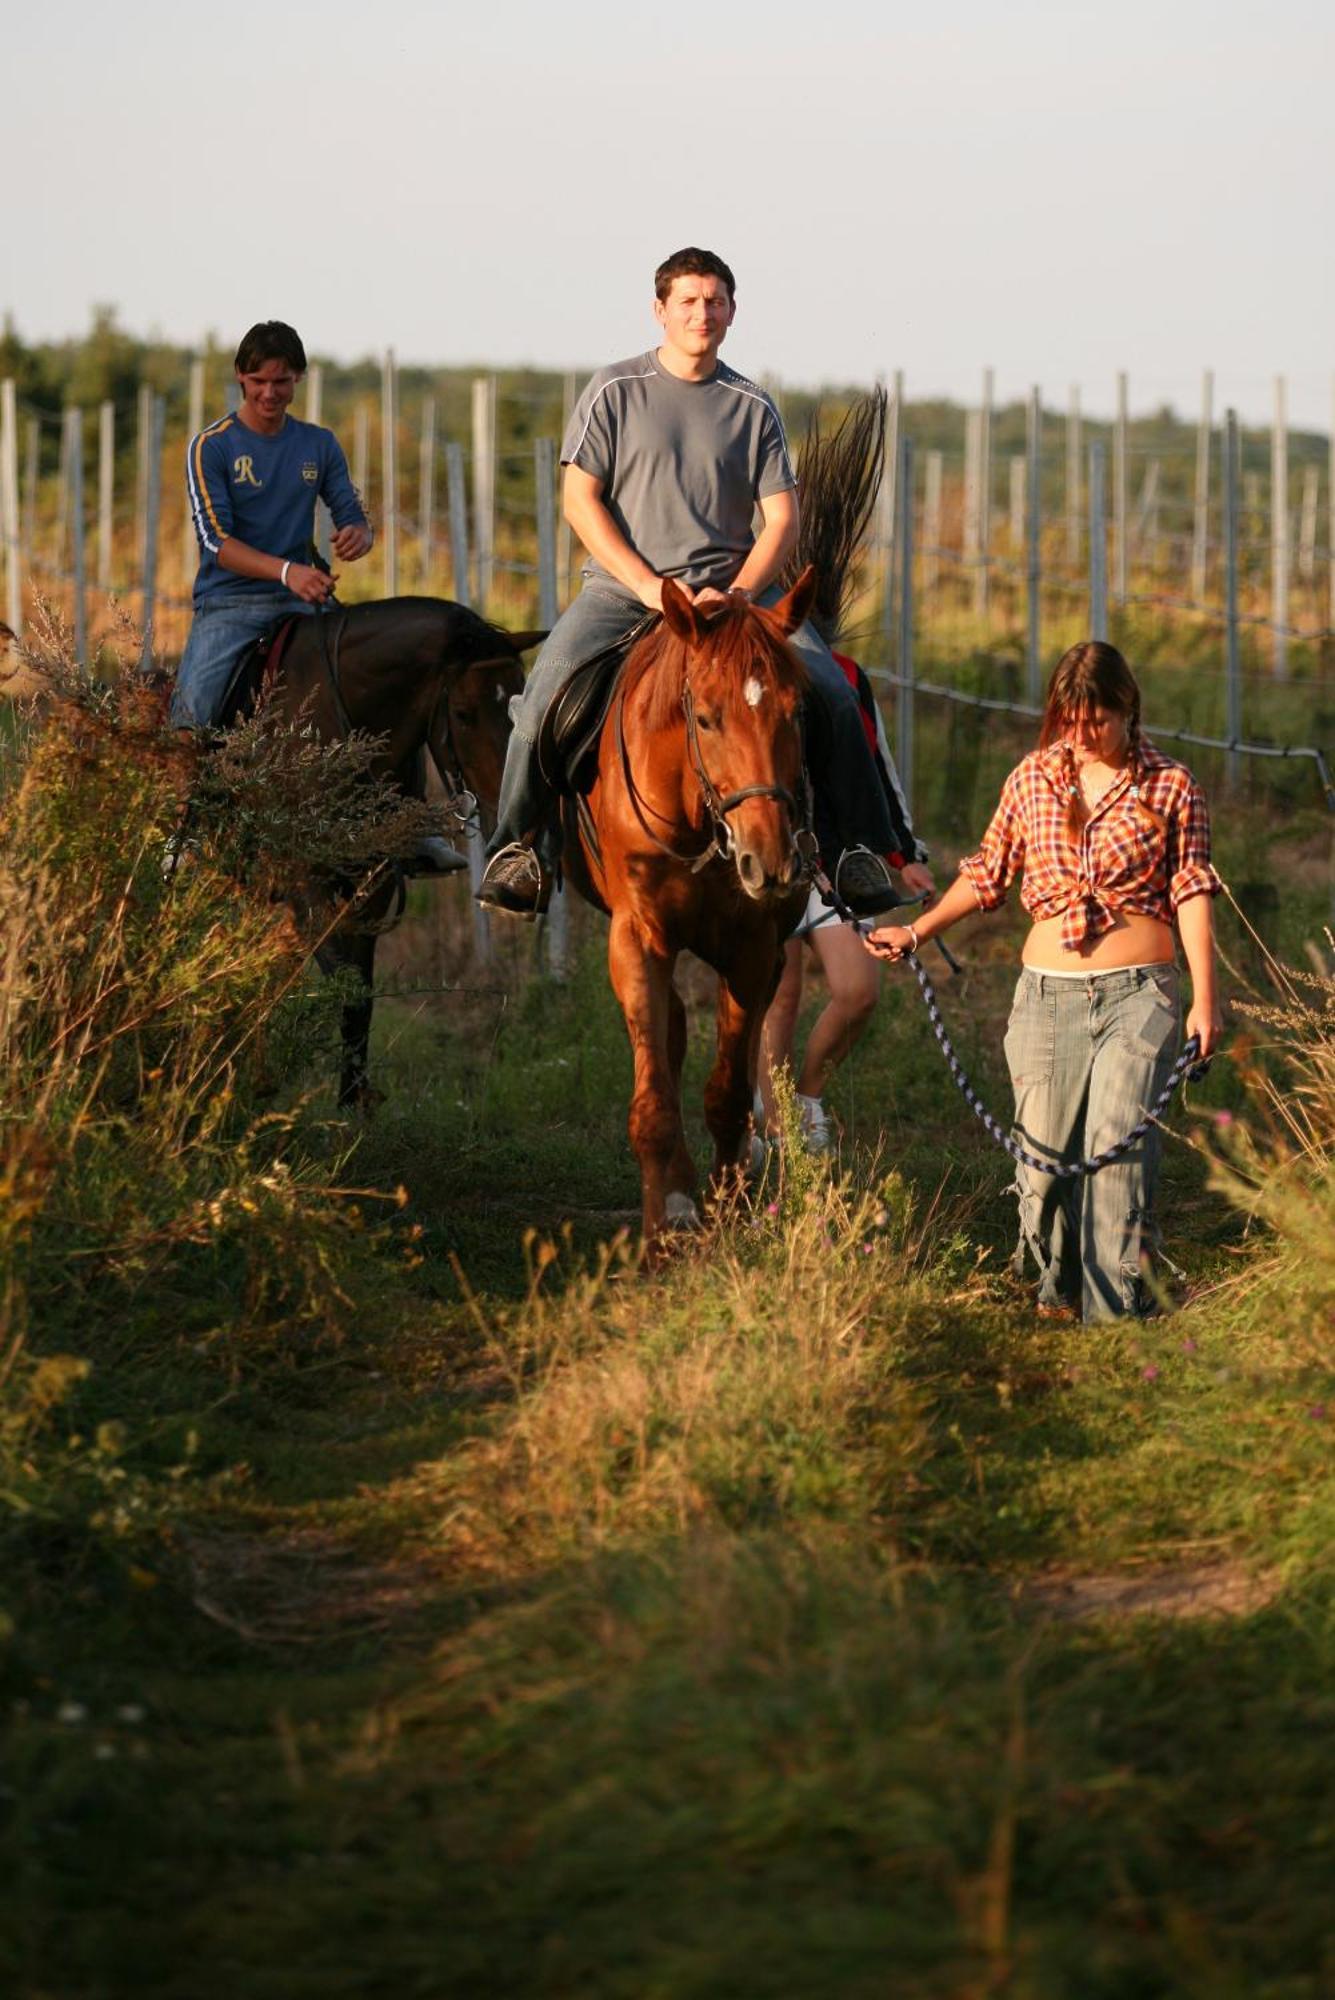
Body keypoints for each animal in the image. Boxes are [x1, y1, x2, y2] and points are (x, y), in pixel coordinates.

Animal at [559, 572, 815, 1240]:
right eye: (705, 718)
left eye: (797, 712)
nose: (770, 860)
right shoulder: (637, 939)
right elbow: (652, 1101)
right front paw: (668, 1217)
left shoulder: (753, 951)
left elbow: (727, 1094)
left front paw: (728, 1208)